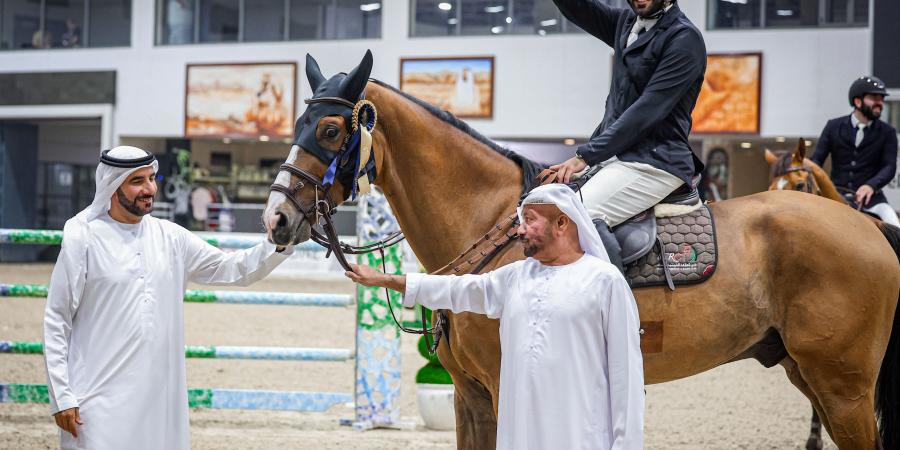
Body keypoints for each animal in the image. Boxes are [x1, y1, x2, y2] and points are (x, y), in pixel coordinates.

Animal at [266, 53, 900, 450]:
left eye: (329, 130)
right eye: (295, 123)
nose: (276, 218)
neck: (490, 222)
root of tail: (868, 230)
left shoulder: (507, 387)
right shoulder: (471, 396)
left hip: (843, 386)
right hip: (809, 373)